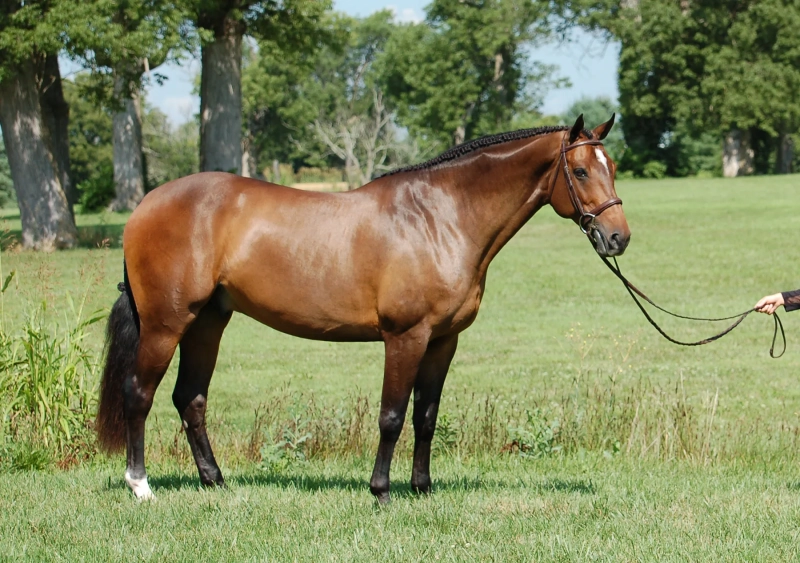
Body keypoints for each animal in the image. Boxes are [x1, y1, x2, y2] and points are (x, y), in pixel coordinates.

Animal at [96, 114, 630, 503]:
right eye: (581, 170)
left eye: (613, 169)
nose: (618, 238)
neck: (439, 218)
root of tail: (145, 207)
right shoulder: (406, 336)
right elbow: (392, 415)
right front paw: (381, 492)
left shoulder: (443, 340)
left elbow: (426, 417)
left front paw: (422, 489)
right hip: (166, 324)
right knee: (139, 394)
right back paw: (141, 486)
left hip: (208, 321)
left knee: (190, 398)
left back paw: (216, 482)